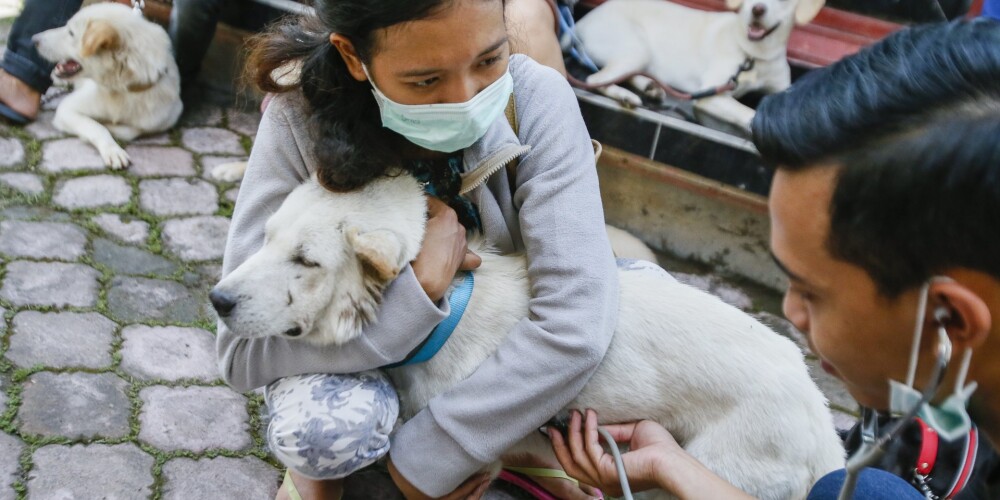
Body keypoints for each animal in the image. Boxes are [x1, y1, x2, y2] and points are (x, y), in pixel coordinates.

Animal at [32, 1, 182, 170]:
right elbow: (96, 127)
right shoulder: (67, 110)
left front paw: (109, 126)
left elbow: (129, 131)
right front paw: (113, 150)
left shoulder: (165, 119)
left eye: (71, 33)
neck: (121, 91)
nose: (34, 39)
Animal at [215, 174, 848, 498]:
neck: (447, 312)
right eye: (266, 239)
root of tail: (823, 425)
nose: (217, 301)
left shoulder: (460, 469)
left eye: (306, 261)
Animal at [576, 0, 824, 131]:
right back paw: (626, 96)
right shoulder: (711, 94)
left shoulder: (783, 89)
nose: (757, 9)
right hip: (636, 48)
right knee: (594, 79)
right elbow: (746, 110)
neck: (755, 54)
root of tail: (581, 22)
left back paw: (650, 87)